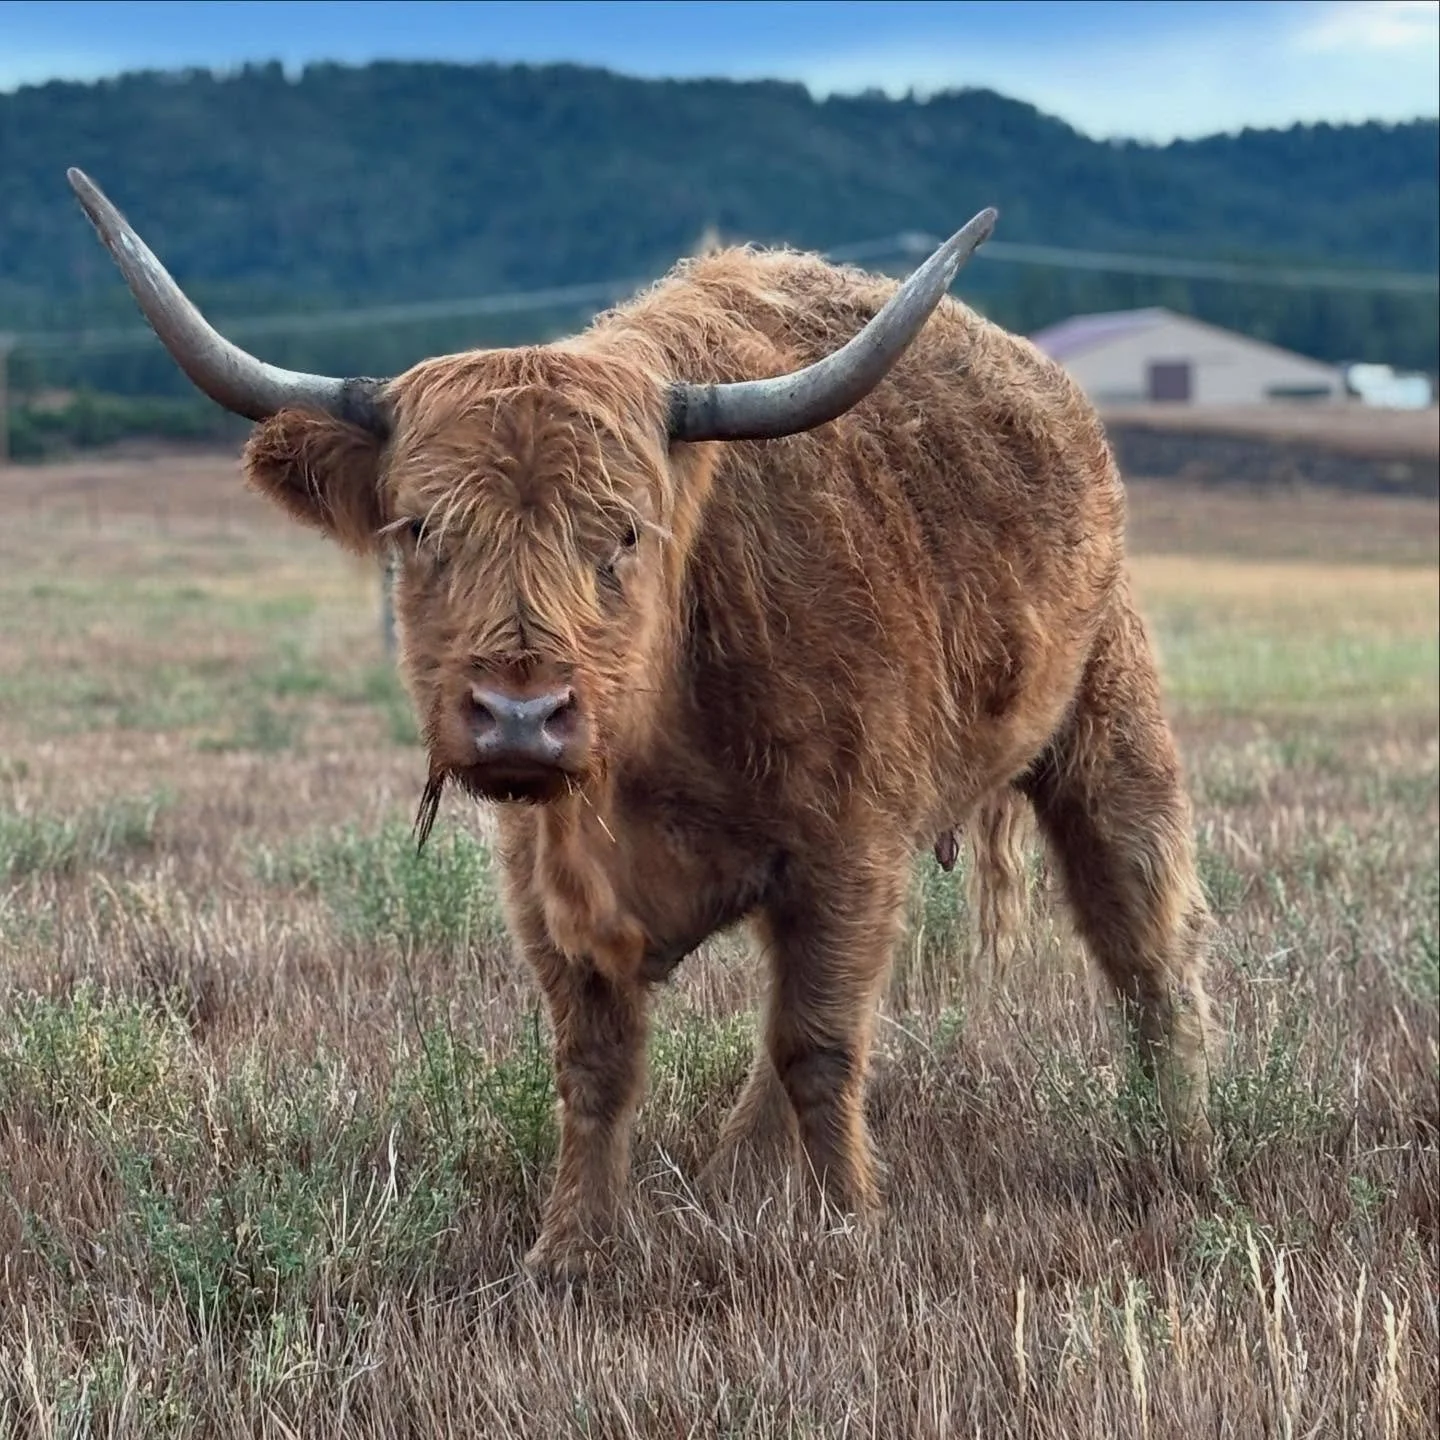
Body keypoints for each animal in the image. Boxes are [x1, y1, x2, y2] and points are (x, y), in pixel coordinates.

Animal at [67, 168, 1215, 1281]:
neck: (655, 744)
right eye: (423, 527)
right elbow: (599, 1065)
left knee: (1144, 939)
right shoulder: (547, 886)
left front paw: (850, 1225)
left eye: (622, 531)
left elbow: (821, 1046)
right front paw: (572, 1249)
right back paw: (735, 1174)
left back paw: (1177, 1144)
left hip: (1109, 731)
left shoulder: (850, 855)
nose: (520, 716)